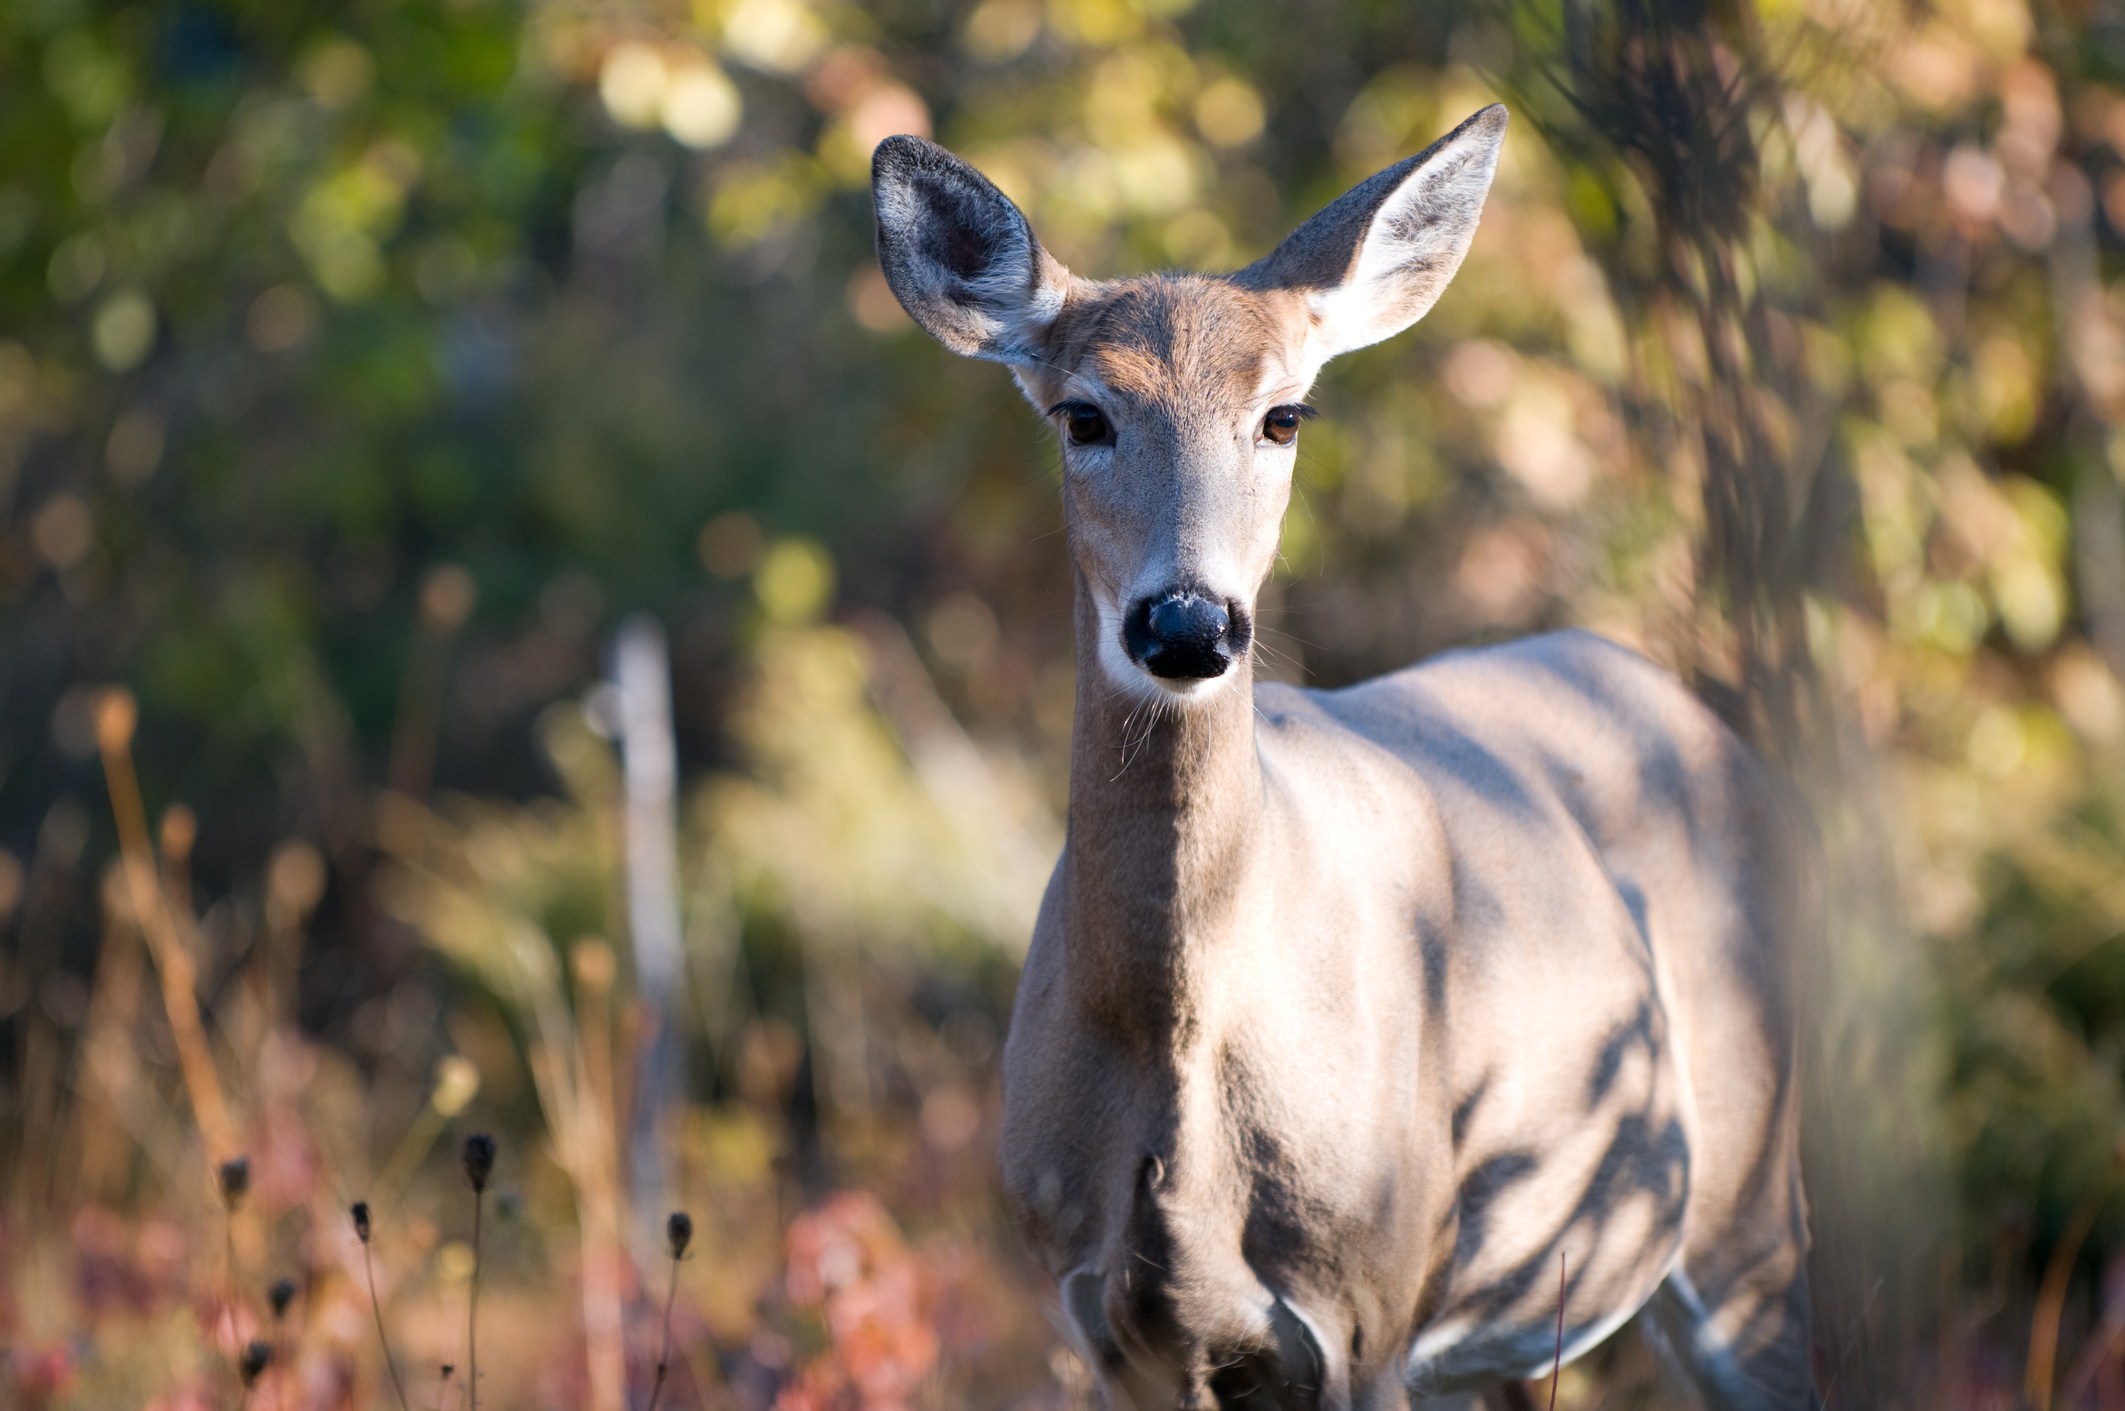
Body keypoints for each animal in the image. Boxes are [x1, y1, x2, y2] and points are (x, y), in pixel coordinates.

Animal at [871, 102, 1819, 1411]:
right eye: (1083, 415)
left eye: (1282, 415)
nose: (1187, 623)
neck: (1178, 1057)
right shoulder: (1108, 1324)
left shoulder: (1368, 1305)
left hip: (1746, 1195)